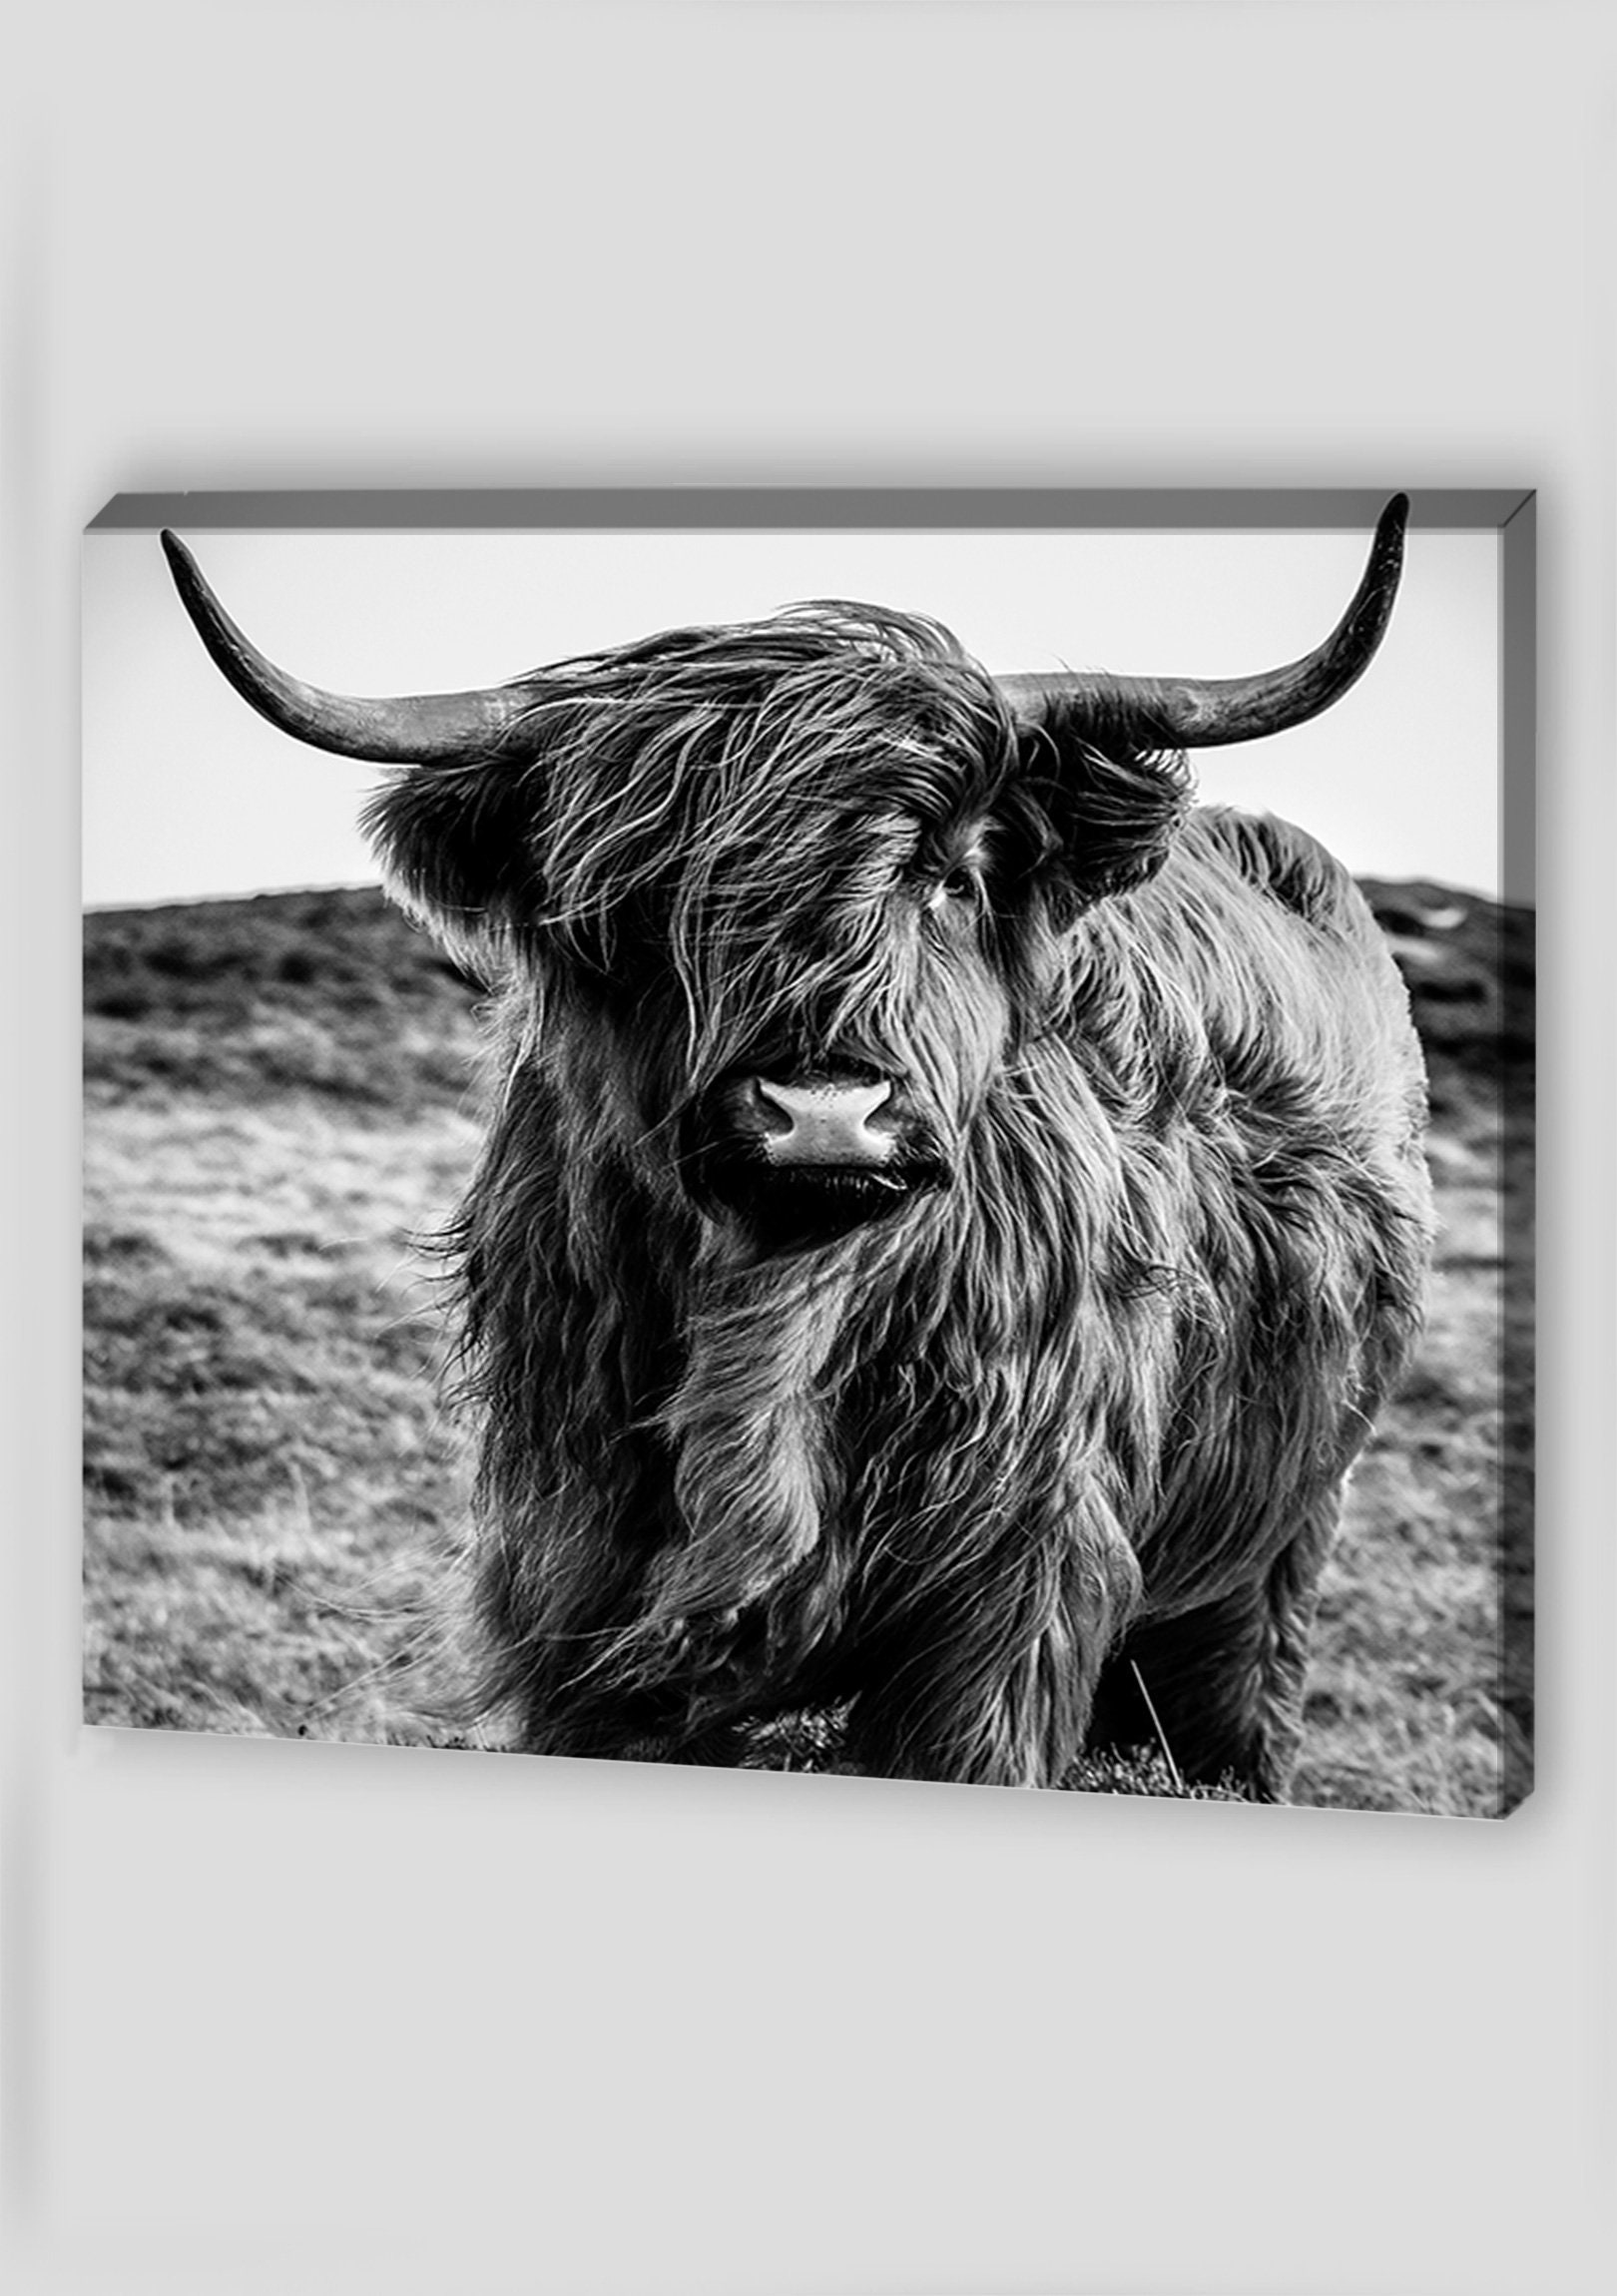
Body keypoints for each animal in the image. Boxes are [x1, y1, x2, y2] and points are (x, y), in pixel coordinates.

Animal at [161, 502, 1433, 1797]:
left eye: (952, 877)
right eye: (646, 900)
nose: (824, 1108)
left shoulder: (1010, 1592)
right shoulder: (580, 1578)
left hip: (1280, 1536)